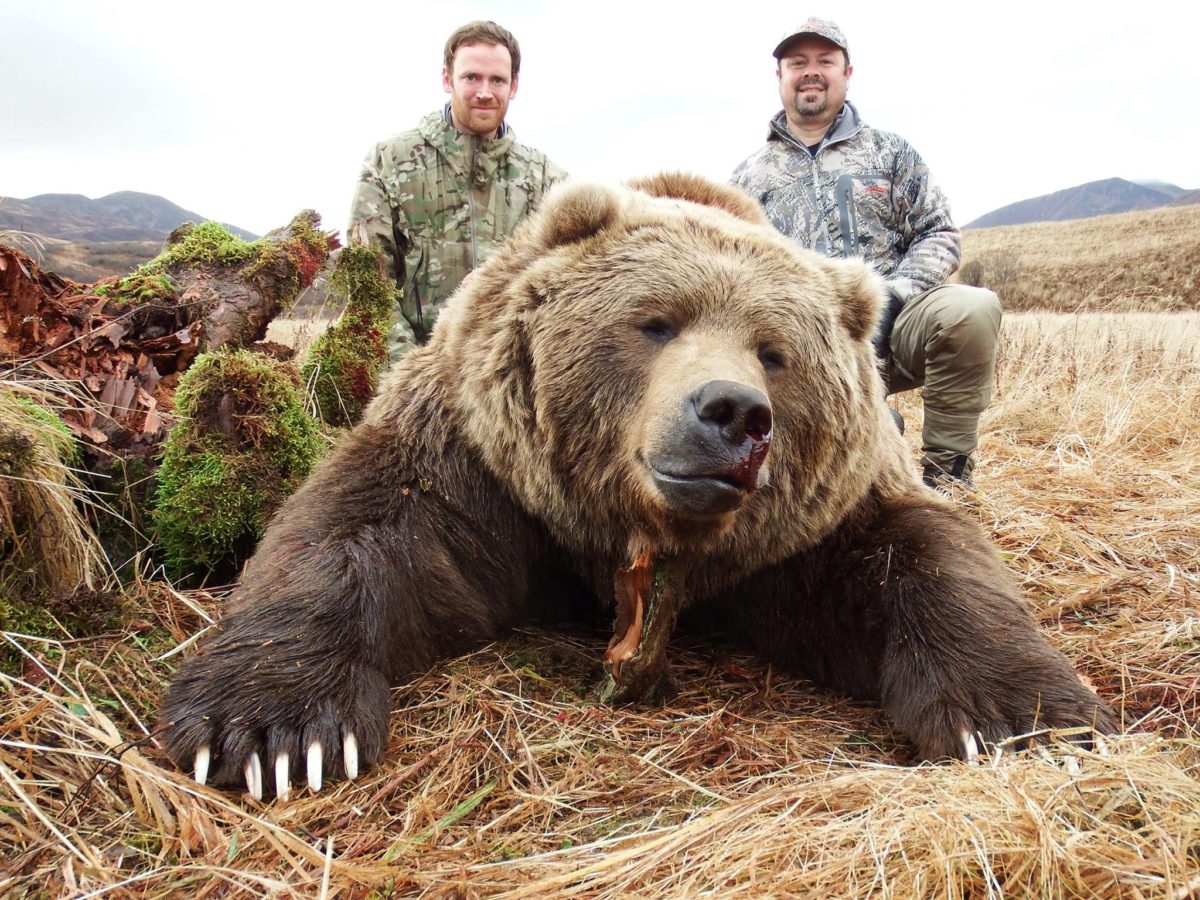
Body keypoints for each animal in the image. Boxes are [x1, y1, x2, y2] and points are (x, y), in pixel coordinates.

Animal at [160, 173, 1116, 800]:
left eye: (775, 351)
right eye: (655, 322)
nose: (734, 411)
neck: (630, 530)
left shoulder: (807, 532)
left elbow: (925, 560)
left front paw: (1028, 718)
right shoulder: (480, 465)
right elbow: (353, 534)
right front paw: (272, 734)